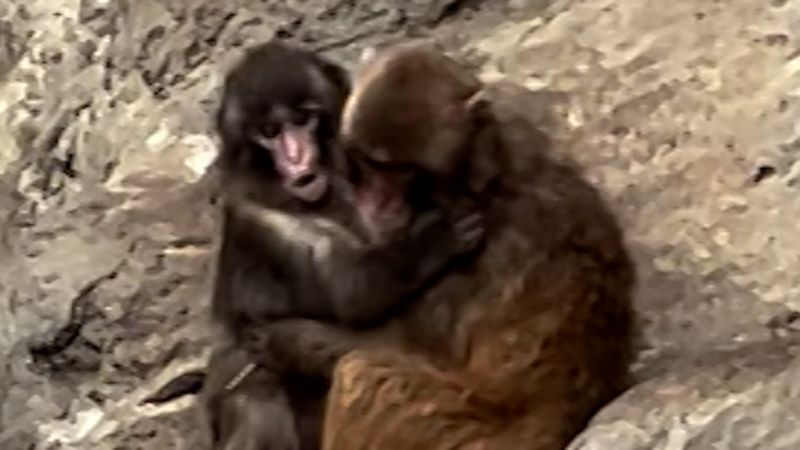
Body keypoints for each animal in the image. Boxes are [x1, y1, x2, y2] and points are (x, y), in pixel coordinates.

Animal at [162, 40, 485, 450]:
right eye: (270, 130)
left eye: (302, 120)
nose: (296, 156)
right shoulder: (258, 213)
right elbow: (352, 290)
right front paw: (440, 233)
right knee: (259, 399)